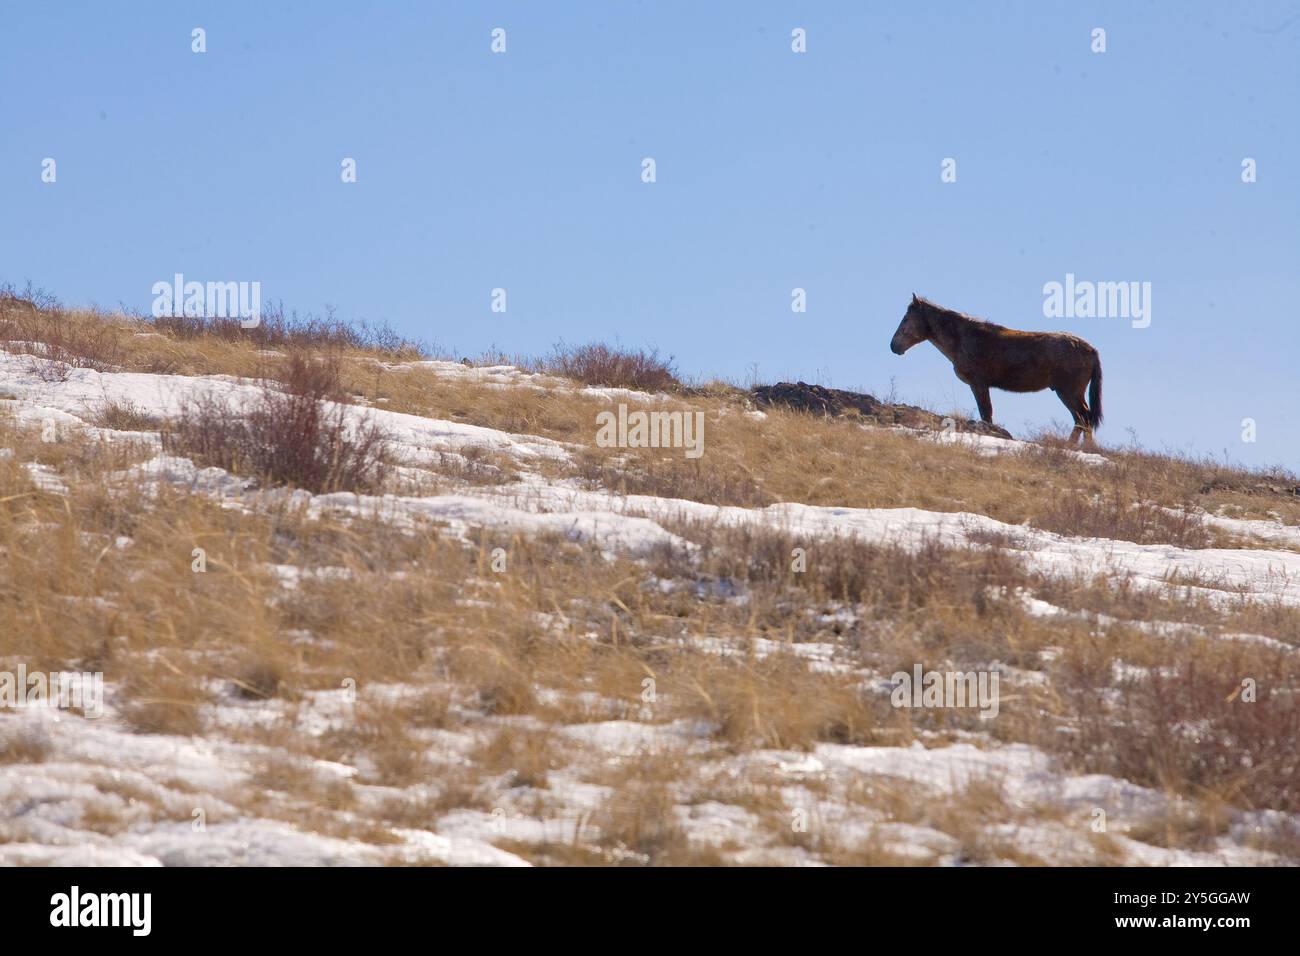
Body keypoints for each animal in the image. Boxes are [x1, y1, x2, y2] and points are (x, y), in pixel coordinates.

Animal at [889, 294, 1103, 446]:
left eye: (906, 318)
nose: (894, 346)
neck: (963, 338)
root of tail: (1091, 349)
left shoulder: (979, 384)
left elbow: (986, 413)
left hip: (1068, 392)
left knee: (1083, 418)